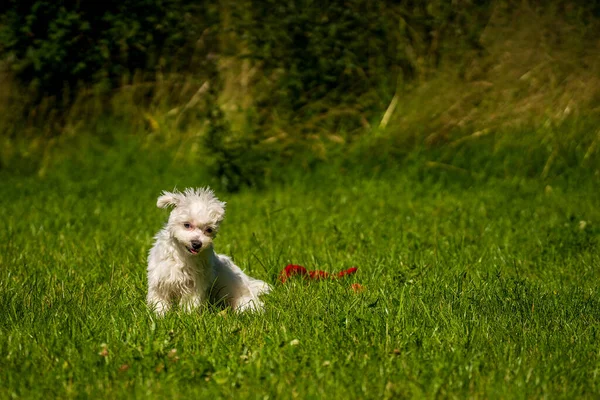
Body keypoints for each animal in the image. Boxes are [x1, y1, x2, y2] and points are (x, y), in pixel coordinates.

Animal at [148, 188, 270, 316]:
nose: (197, 244)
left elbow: (190, 302)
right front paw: (159, 315)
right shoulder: (160, 280)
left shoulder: (194, 285)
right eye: (187, 225)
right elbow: (159, 300)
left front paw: (187, 315)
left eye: (209, 230)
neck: (183, 255)